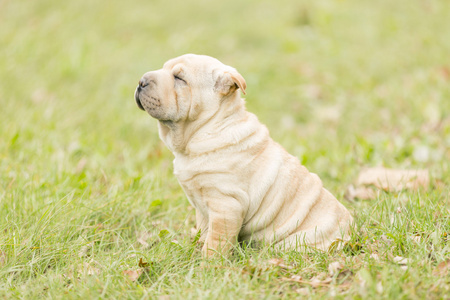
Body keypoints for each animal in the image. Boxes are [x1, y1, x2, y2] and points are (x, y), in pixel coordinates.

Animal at [135, 53, 354, 255]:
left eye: (179, 79)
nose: (141, 81)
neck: (203, 131)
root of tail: (351, 234)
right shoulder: (203, 209)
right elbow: (204, 231)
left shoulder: (226, 204)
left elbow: (215, 241)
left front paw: (207, 264)